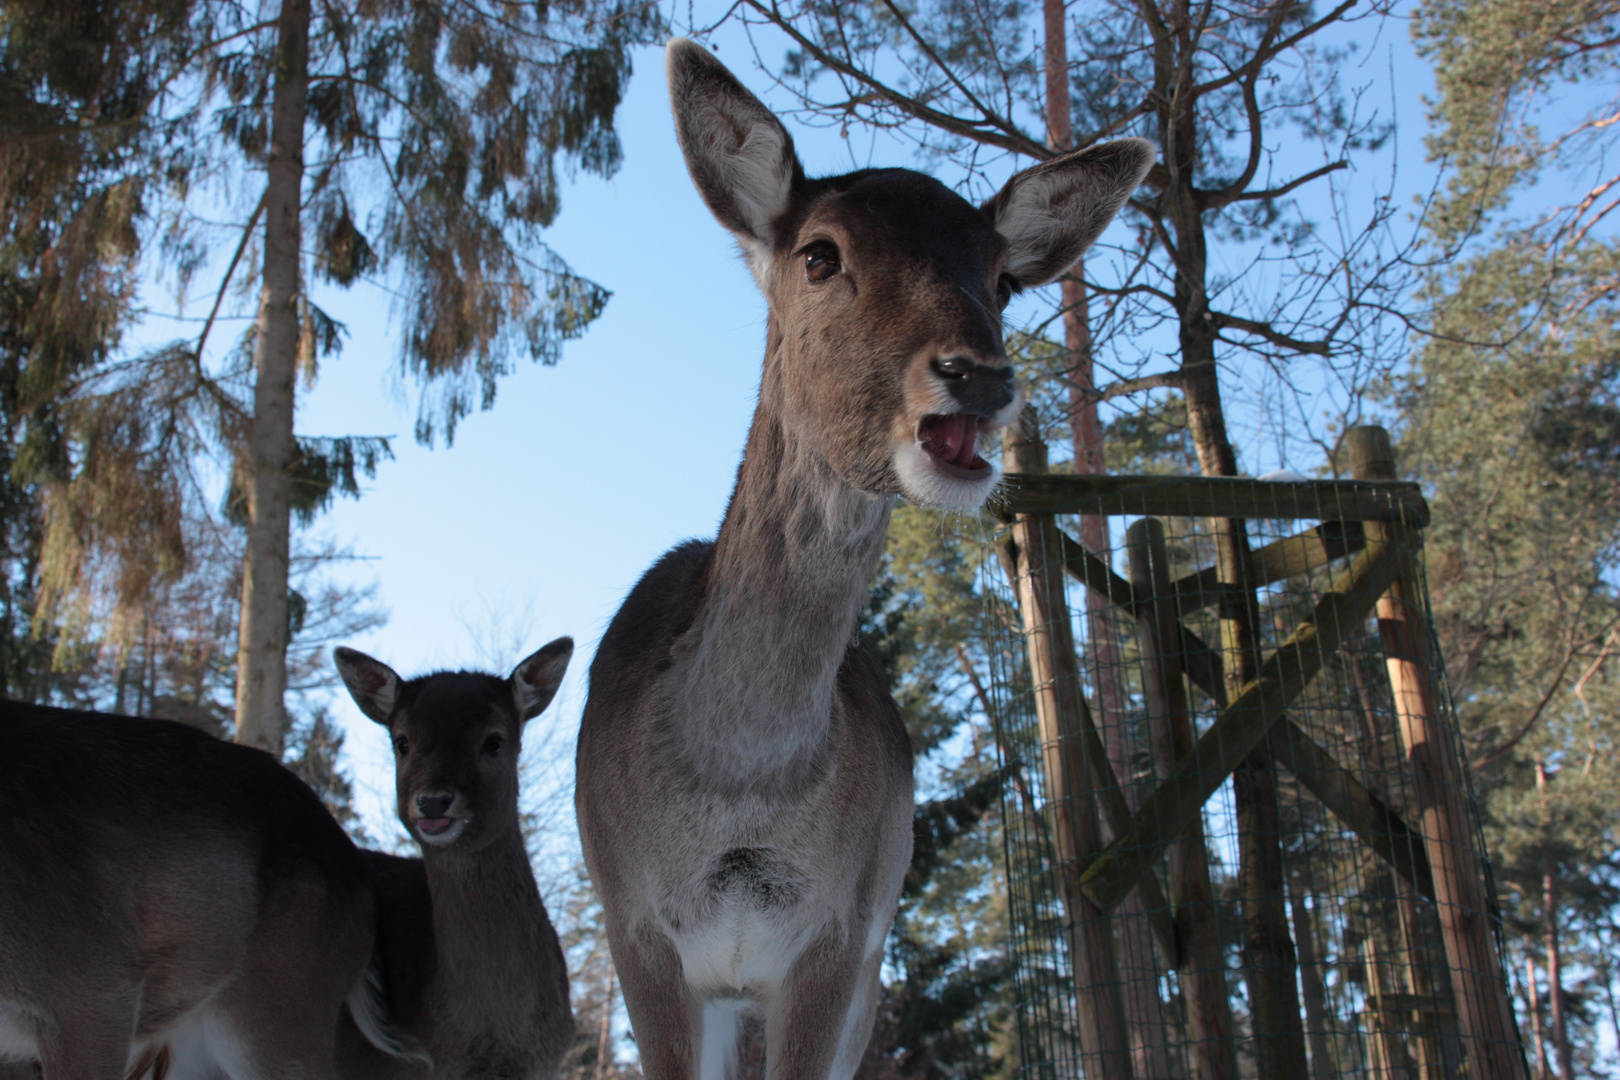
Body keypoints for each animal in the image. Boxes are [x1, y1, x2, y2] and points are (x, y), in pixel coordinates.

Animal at [576, 38, 1159, 1080]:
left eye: (1002, 279)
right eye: (820, 254)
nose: (979, 375)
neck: (742, 793)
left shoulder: (843, 940)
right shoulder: (633, 924)